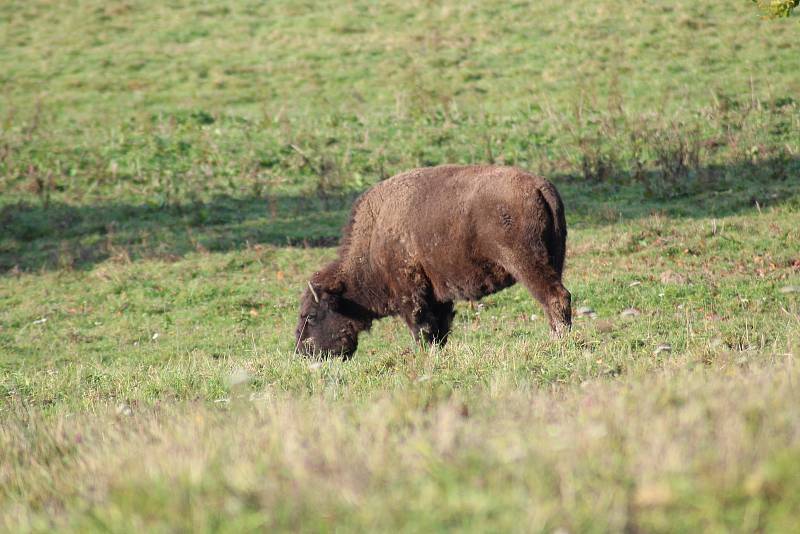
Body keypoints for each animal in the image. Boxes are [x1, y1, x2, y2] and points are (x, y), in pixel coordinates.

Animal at [296, 165, 572, 358]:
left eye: (311, 315)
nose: (302, 352)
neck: (375, 238)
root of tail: (539, 186)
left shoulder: (411, 295)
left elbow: (422, 327)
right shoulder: (438, 296)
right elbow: (439, 329)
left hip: (525, 263)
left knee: (554, 297)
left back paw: (557, 341)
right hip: (554, 259)